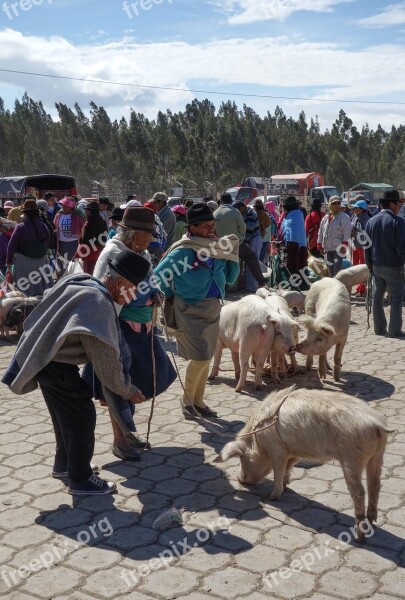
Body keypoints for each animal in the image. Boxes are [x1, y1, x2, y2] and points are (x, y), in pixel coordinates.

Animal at [215, 386, 394, 540]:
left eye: (242, 458)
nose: (239, 479)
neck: (258, 440)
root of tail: (376, 424)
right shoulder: (293, 451)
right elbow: (288, 467)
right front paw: (286, 484)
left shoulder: (276, 449)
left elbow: (278, 470)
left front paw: (272, 496)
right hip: (378, 455)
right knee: (375, 485)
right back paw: (372, 521)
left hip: (352, 458)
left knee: (359, 492)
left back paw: (359, 536)